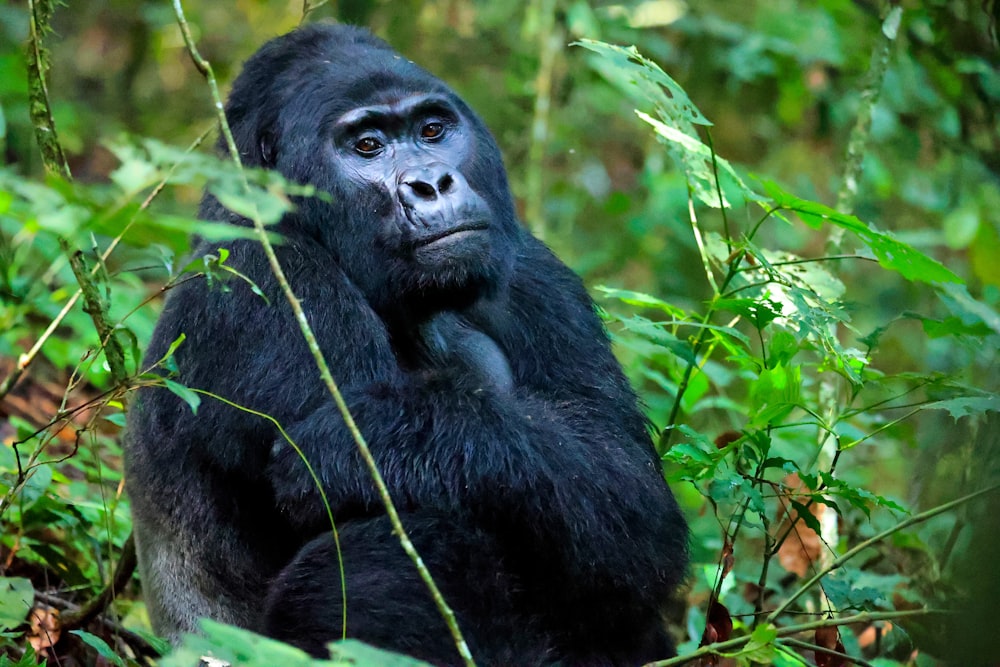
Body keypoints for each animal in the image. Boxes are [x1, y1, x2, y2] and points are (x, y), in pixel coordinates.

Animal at [123, 22, 688, 667]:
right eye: (367, 145)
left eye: (433, 131)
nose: (432, 183)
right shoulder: (265, 282)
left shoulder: (537, 274)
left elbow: (630, 502)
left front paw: (393, 436)